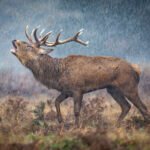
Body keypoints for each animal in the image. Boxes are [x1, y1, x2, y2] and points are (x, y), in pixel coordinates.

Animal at [11, 25, 150, 126]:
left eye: (28, 46)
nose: (14, 40)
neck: (57, 74)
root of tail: (136, 69)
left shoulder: (78, 89)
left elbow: (76, 111)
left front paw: (76, 127)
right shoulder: (66, 91)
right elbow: (56, 102)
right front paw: (61, 121)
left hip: (129, 86)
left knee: (142, 107)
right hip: (112, 89)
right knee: (126, 106)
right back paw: (116, 125)